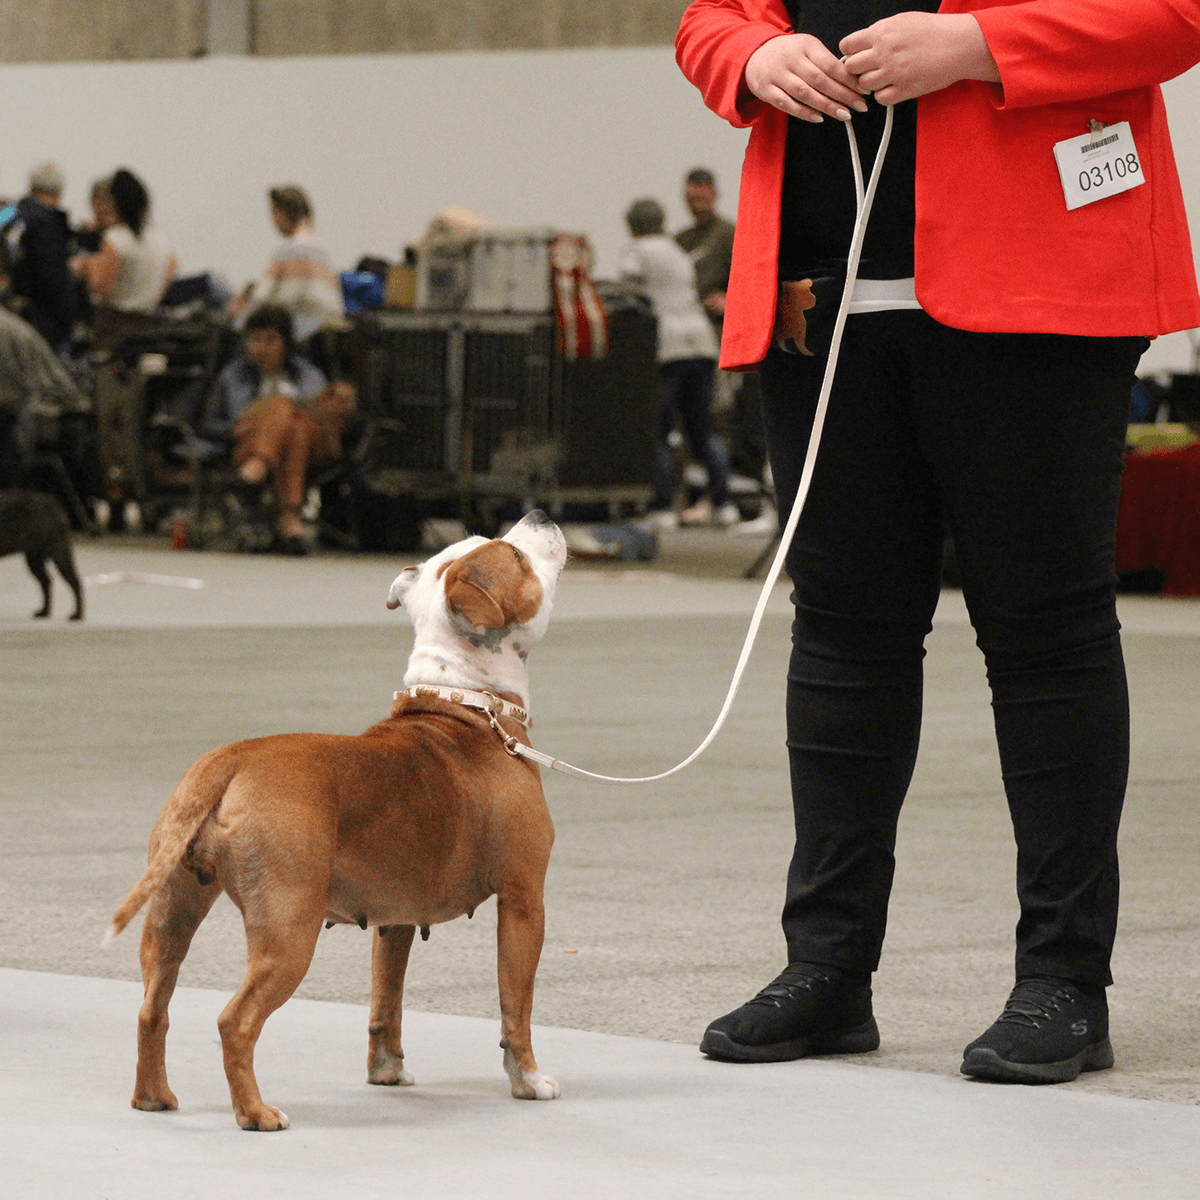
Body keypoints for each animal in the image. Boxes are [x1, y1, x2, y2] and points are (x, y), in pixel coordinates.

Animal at [0, 487, 83, 619]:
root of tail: (55, 505)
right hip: (34, 558)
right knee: (46, 581)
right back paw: (44, 611)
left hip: (58, 551)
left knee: (74, 580)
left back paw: (77, 614)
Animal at [108, 511, 566, 1128]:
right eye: (514, 556)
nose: (540, 515)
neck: (468, 700)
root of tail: (229, 760)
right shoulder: (523, 902)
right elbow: (516, 1005)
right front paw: (529, 1081)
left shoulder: (396, 917)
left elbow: (386, 1002)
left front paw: (387, 1073)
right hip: (288, 930)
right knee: (236, 1021)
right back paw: (256, 1113)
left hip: (172, 910)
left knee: (152, 1006)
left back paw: (153, 1098)